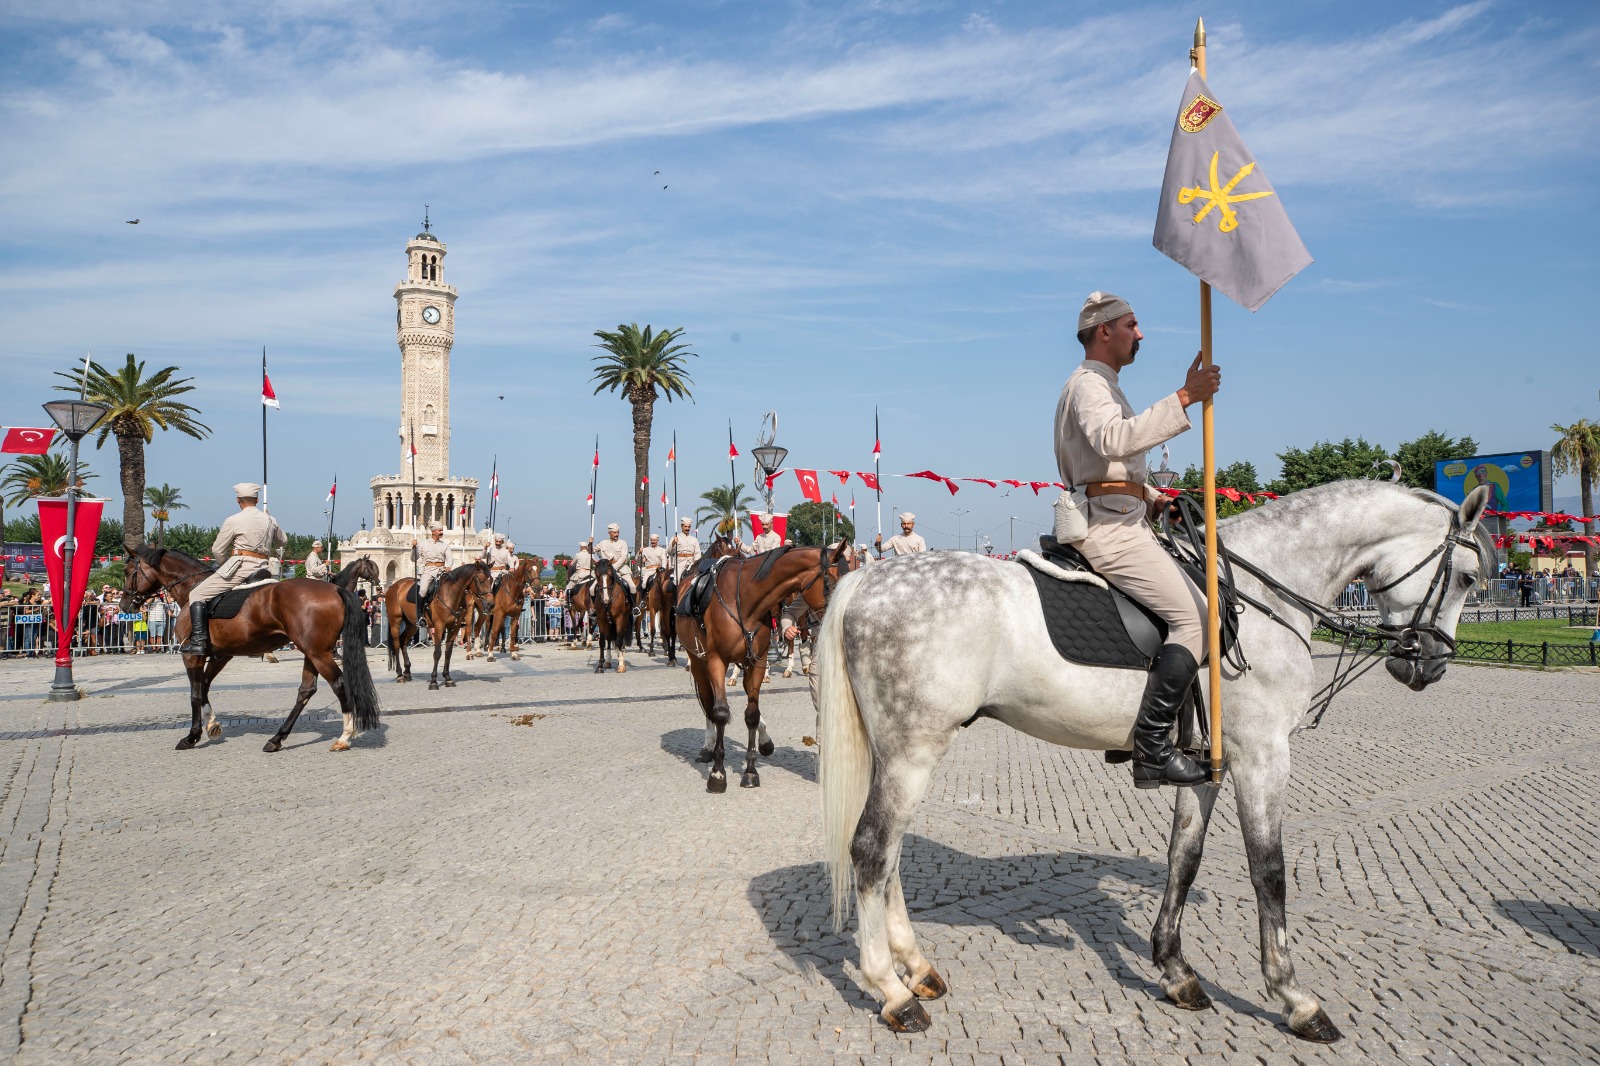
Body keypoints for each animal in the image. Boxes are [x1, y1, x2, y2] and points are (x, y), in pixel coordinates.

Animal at [123, 544, 379, 752]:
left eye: (127, 572)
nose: (126, 604)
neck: (192, 590)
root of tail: (334, 590)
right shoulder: (221, 655)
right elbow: (204, 686)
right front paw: (212, 723)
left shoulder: (193, 656)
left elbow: (195, 692)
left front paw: (192, 736)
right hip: (312, 653)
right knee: (306, 690)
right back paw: (277, 739)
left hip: (317, 653)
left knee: (339, 684)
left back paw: (344, 736)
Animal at [675, 541, 851, 787]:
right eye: (833, 584)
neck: (746, 600)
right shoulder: (716, 661)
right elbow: (720, 712)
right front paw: (718, 773)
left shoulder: (756, 662)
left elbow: (752, 714)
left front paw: (750, 771)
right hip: (698, 661)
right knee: (708, 701)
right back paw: (708, 746)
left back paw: (764, 739)